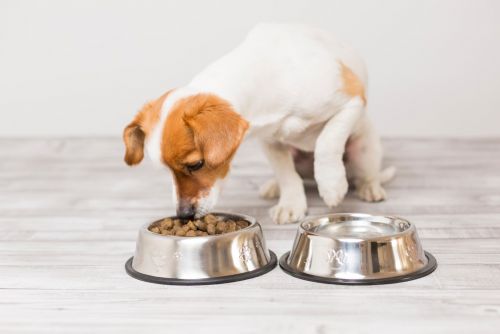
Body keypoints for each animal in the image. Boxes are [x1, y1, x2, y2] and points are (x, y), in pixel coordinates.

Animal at [122, 23, 394, 224]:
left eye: (196, 164)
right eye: (165, 171)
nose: (184, 216)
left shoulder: (353, 100)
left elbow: (328, 143)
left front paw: (331, 184)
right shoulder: (270, 141)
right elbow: (286, 174)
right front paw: (291, 203)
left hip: (365, 149)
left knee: (366, 173)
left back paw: (369, 187)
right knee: (293, 174)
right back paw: (274, 186)